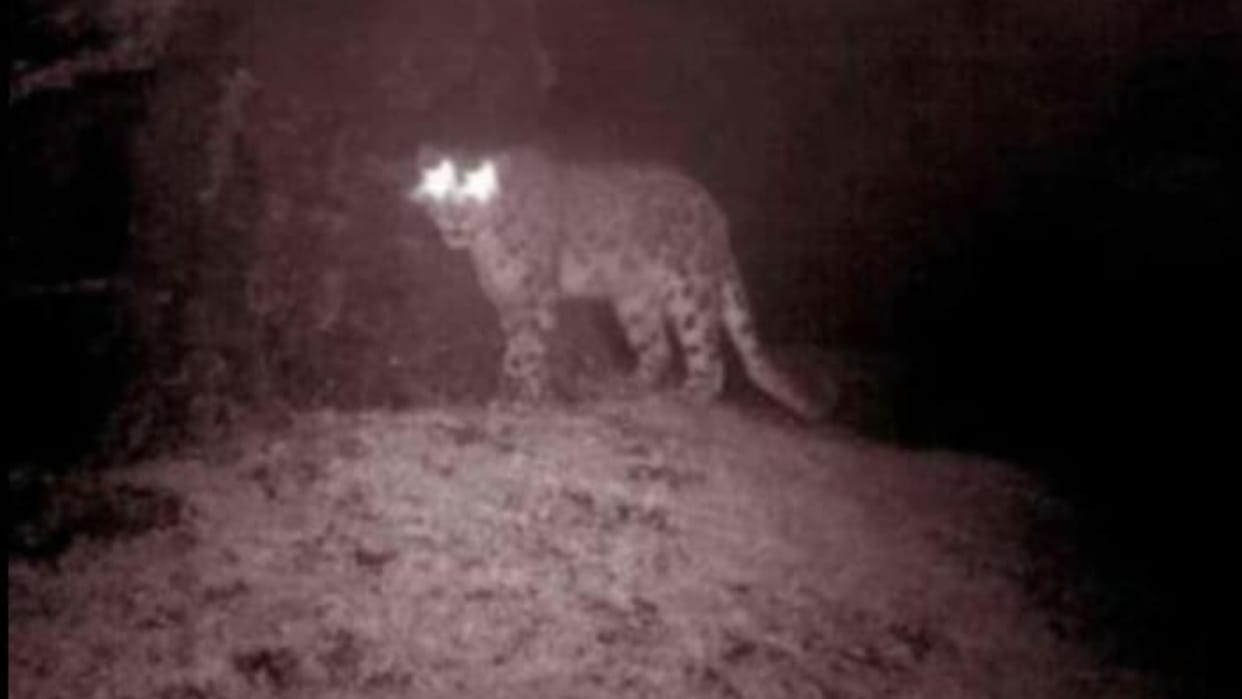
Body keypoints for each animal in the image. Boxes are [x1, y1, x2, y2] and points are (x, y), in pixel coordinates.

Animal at [406, 144, 822, 421]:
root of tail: (717, 213)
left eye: (474, 198)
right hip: (635, 301)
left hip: (690, 290)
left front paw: (515, 397)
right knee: (657, 350)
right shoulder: (508, 299)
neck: (485, 247)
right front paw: (525, 392)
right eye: (441, 196)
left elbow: (526, 348)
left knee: (709, 356)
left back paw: (685, 397)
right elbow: (521, 347)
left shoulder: (535, 294)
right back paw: (625, 388)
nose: (455, 222)